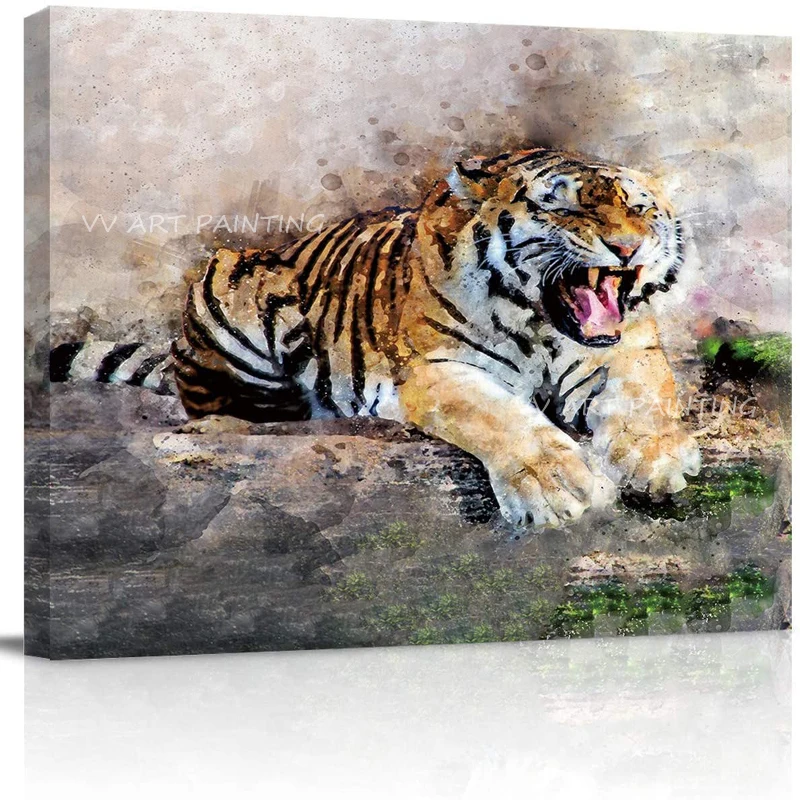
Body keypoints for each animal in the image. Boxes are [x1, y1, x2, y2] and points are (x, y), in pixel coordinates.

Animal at [54, 147, 702, 527]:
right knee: (218, 404)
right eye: (563, 209)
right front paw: (559, 487)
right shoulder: (440, 370)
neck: (542, 326)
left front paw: (660, 459)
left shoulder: (629, 352)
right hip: (230, 283)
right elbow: (504, 420)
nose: (627, 247)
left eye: (641, 209)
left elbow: (648, 401)